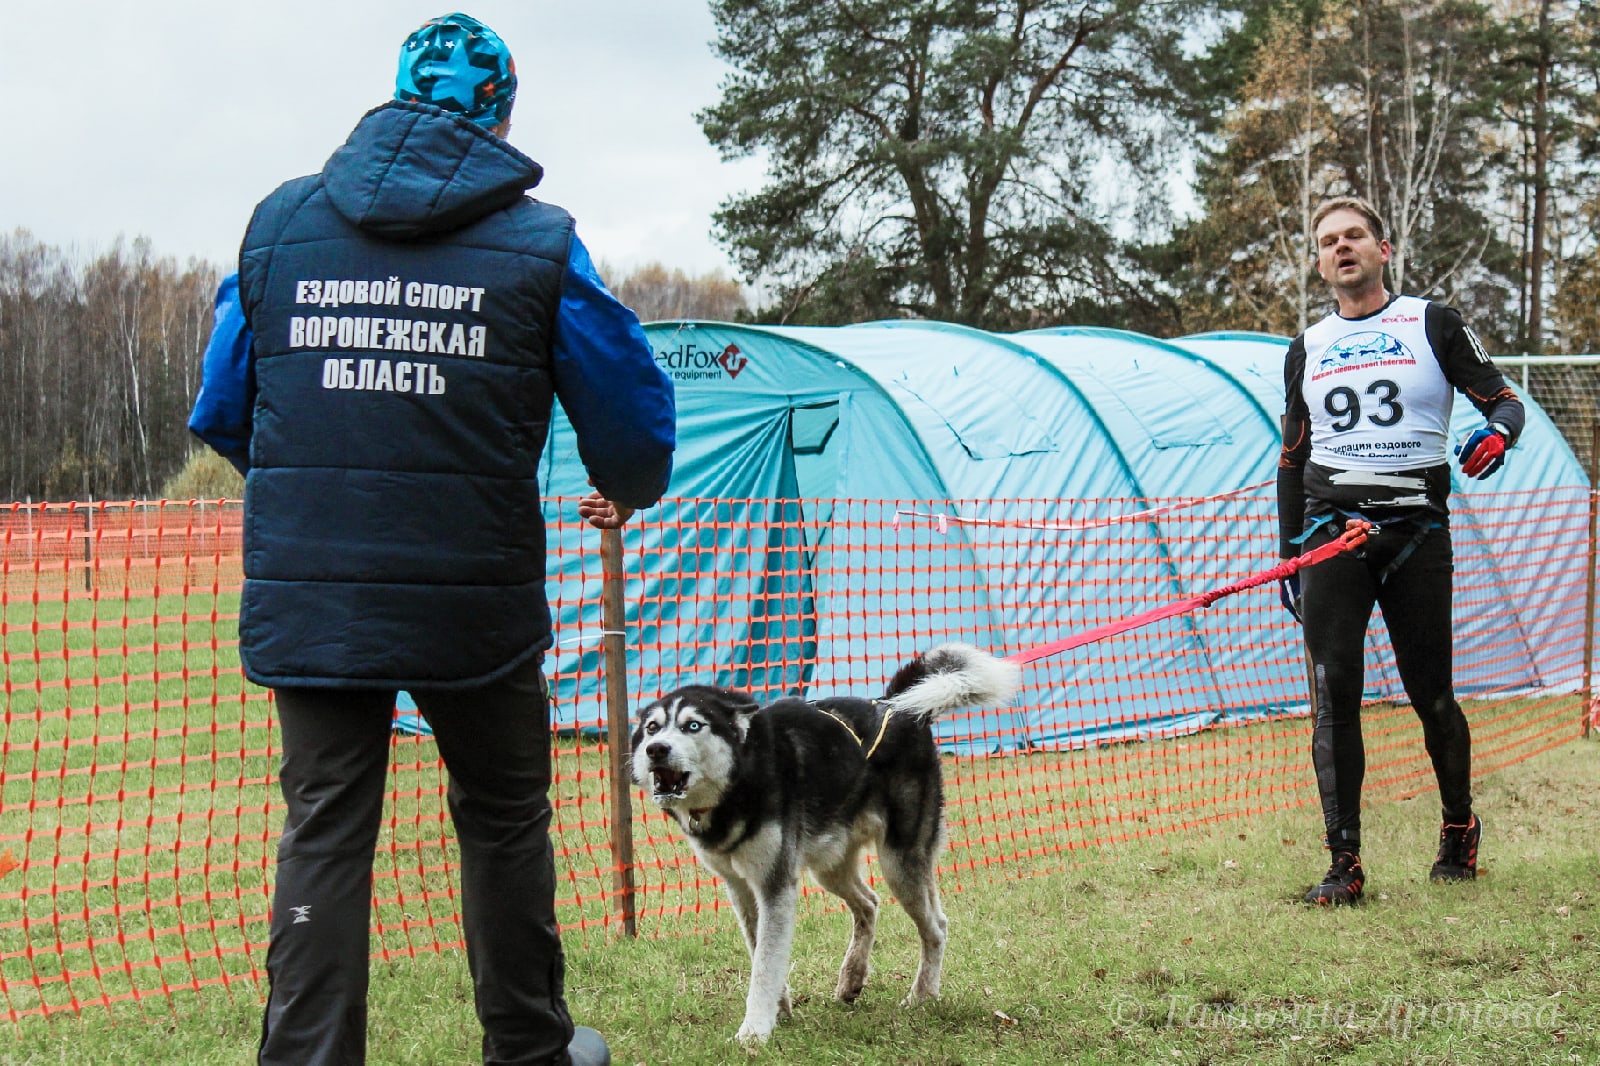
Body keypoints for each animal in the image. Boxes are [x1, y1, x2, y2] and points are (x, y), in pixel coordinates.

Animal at [630, 643, 1017, 1043]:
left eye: (693, 725)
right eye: (652, 728)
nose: (656, 749)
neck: (741, 778)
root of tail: (897, 707)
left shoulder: (774, 885)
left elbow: (765, 964)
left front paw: (754, 1032)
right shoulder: (741, 887)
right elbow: (760, 952)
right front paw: (779, 1010)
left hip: (899, 863)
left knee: (935, 926)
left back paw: (922, 994)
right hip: (828, 866)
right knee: (868, 903)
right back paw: (852, 978)